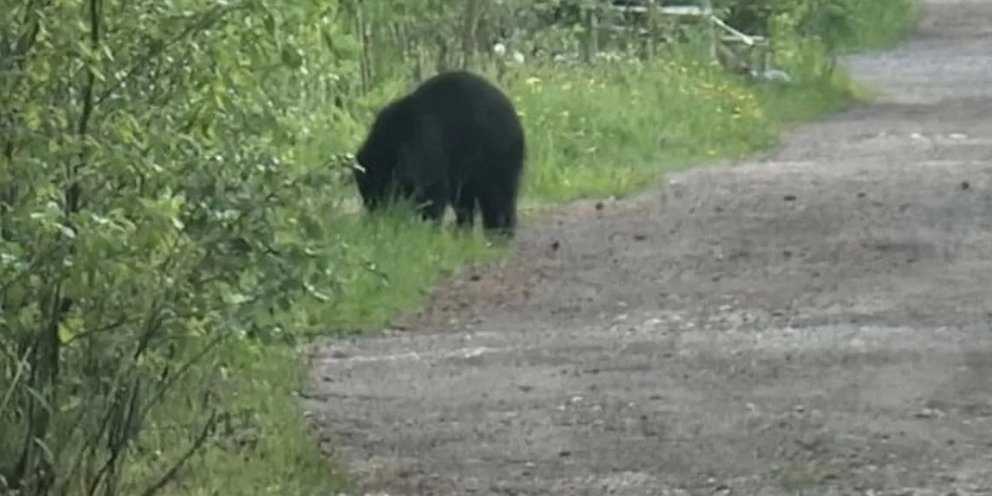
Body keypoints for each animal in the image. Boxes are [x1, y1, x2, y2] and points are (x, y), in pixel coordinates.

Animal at [354, 70, 528, 238]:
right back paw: (463, 231)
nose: (375, 217)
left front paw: (428, 226)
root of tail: (516, 119)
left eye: (377, 193)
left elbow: (433, 190)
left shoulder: (425, 143)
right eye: (365, 193)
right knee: (465, 200)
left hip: (495, 152)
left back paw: (499, 233)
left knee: (497, 196)